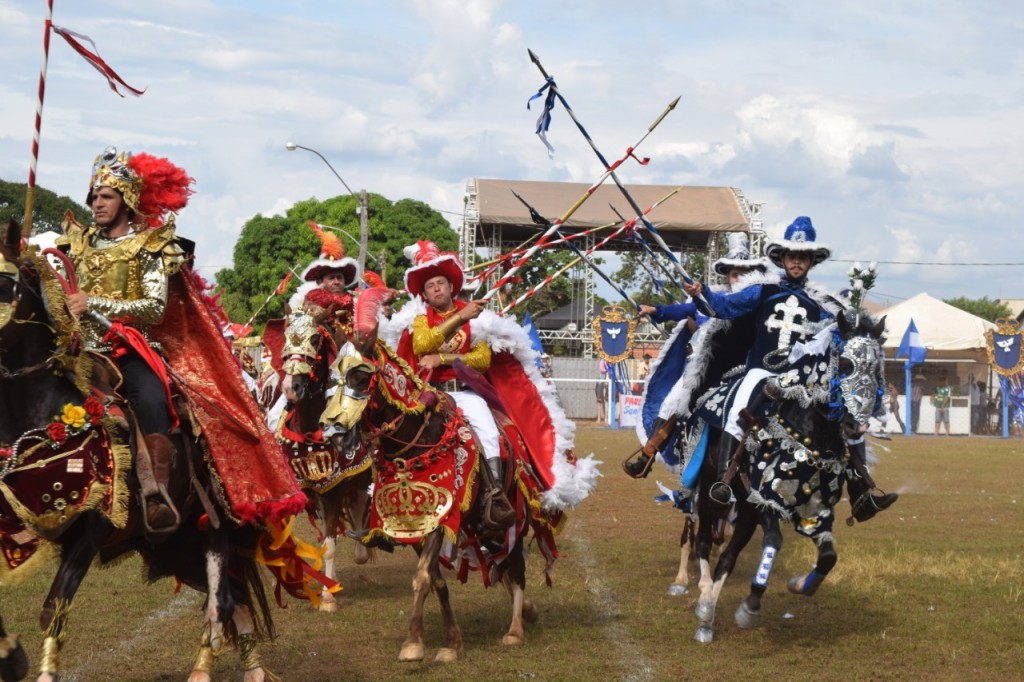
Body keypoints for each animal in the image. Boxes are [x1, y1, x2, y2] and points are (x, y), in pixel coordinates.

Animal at [0, 220, 278, 675]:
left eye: (5, 283)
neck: (43, 415)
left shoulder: (93, 527)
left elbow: (53, 609)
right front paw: (11, 653)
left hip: (209, 526)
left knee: (220, 597)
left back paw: (218, 669)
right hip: (171, 546)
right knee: (231, 595)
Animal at [274, 305, 374, 606]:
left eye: (315, 340)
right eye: (286, 336)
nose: (291, 387)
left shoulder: (335, 488)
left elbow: (330, 544)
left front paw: (329, 596)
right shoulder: (308, 488)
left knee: (359, 508)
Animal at [319, 288, 561, 663]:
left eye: (360, 377)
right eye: (333, 378)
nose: (335, 434)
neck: (416, 446)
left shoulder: (438, 519)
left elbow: (421, 579)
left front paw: (413, 643)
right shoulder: (415, 527)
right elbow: (436, 581)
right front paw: (451, 642)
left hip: (512, 517)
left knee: (516, 566)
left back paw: (516, 629)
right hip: (479, 523)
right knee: (502, 565)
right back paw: (528, 612)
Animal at [684, 311, 892, 638]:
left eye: (877, 369)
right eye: (846, 365)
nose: (855, 426)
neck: (811, 435)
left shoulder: (815, 511)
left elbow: (829, 556)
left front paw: (801, 584)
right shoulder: (768, 500)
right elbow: (773, 541)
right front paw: (750, 604)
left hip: (746, 508)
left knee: (728, 557)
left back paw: (707, 614)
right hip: (710, 490)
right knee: (704, 539)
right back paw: (704, 597)